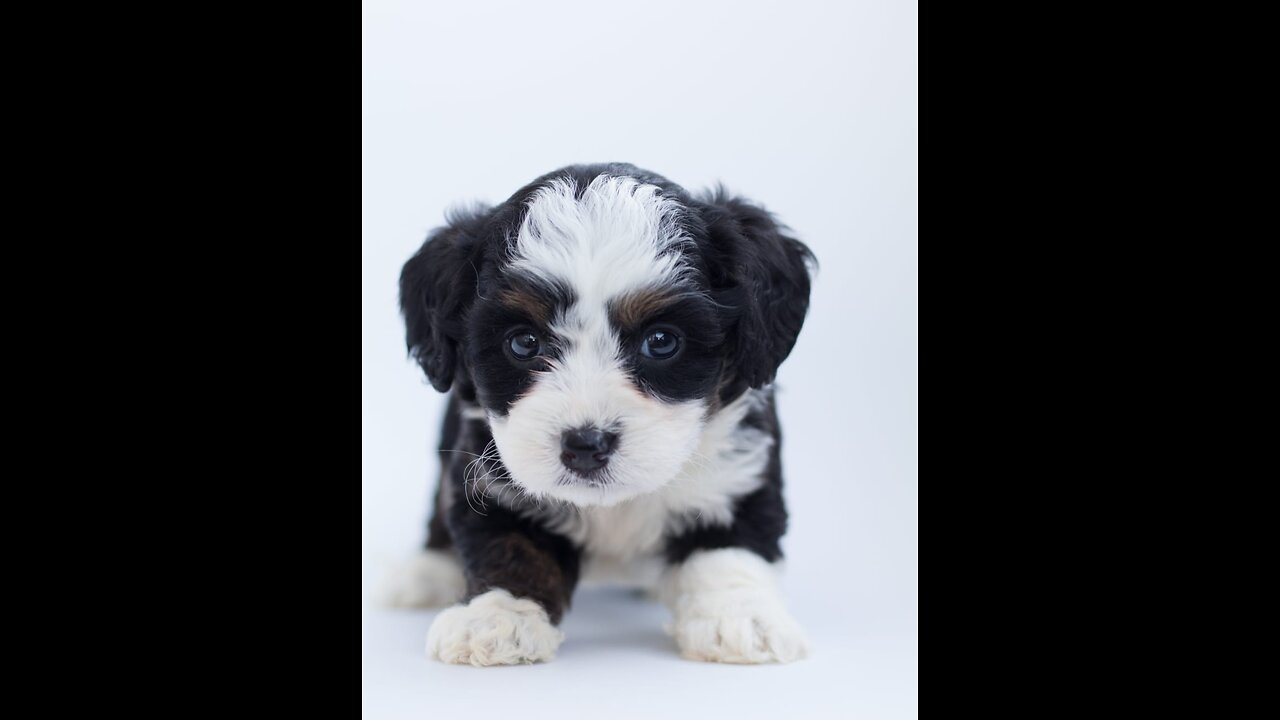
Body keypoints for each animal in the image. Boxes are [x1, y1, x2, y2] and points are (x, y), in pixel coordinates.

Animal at [384, 162, 814, 661]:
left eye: (661, 341)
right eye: (523, 343)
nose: (586, 445)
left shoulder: (738, 467)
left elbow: (730, 544)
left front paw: (738, 617)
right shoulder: (487, 473)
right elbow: (509, 544)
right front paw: (498, 615)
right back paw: (425, 572)